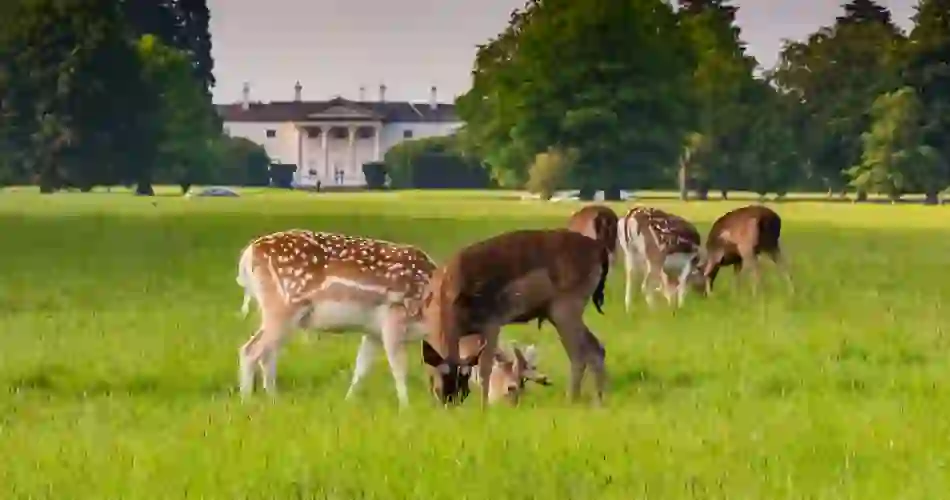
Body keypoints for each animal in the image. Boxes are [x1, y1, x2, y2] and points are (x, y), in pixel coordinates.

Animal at [236, 228, 456, 406]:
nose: (451, 404)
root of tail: (247, 255)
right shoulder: (394, 317)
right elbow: (399, 368)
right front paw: (405, 409)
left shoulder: (373, 332)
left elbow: (361, 368)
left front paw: (348, 402)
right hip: (282, 308)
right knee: (250, 350)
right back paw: (247, 402)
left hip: (284, 316)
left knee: (267, 354)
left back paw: (274, 400)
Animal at [422, 229, 608, 408]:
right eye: (439, 385)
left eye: (462, 383)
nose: (450, 402)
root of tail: (600, 250)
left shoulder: (492, 321)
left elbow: (485, 368)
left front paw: (484, 408)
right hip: (557, 312)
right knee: (595, 348)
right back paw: (598, 401)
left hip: (566, 307)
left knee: (579, 354)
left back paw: (572, 401)